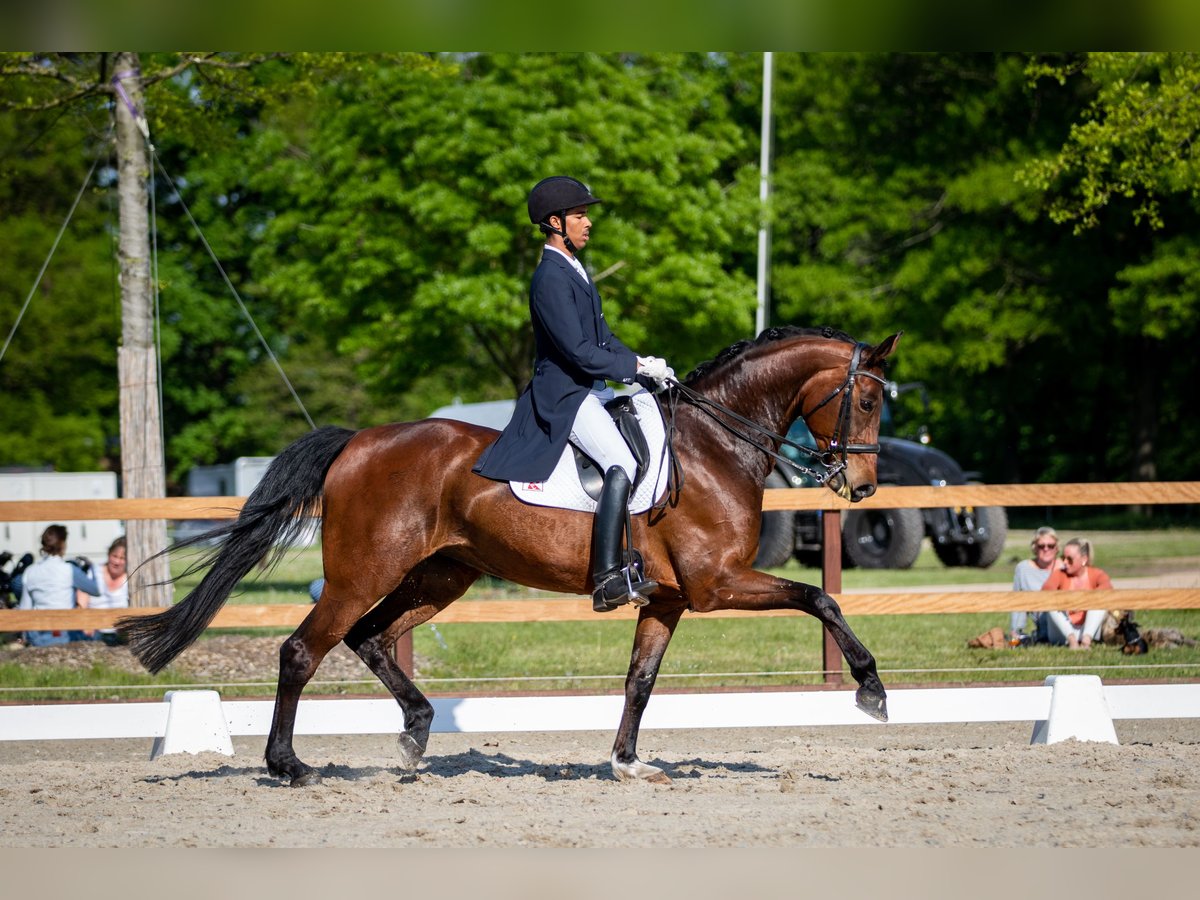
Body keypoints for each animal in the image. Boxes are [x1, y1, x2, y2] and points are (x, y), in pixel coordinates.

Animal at [119, 328, 902, 787]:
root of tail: (358, 442)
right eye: (866, 399)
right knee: (303, 650)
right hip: (364, 572)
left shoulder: (671, 599)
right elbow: (820, 596)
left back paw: (415, 735)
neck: (714, 444)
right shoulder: (716, 584)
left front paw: (626, 762)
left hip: (442, 574)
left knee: (371, 637)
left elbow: (639, 683)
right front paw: (870, 688)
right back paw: (290, 766)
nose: (861, 487)